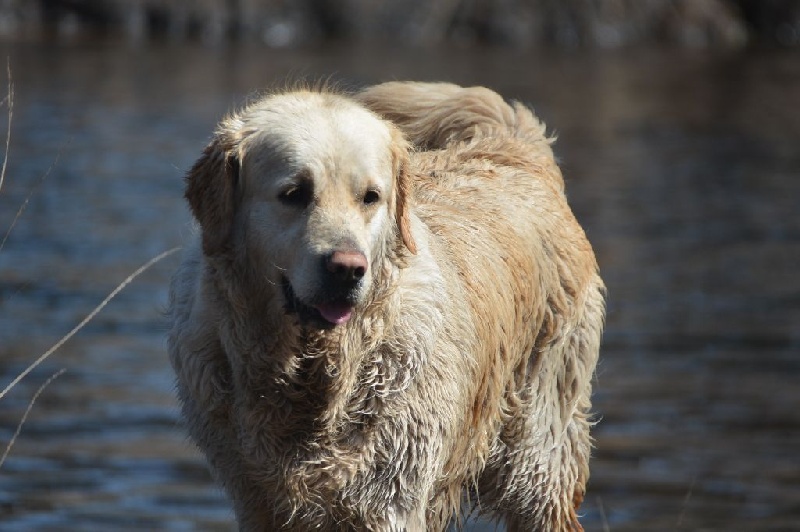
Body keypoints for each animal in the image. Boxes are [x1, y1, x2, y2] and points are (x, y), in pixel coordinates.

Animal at [170, 81, 608, 528]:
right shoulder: (255, 500)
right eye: (294, 194)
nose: (348, 269)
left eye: (370, 197)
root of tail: (511, 149)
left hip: (538, 457)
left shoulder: (390, 499)